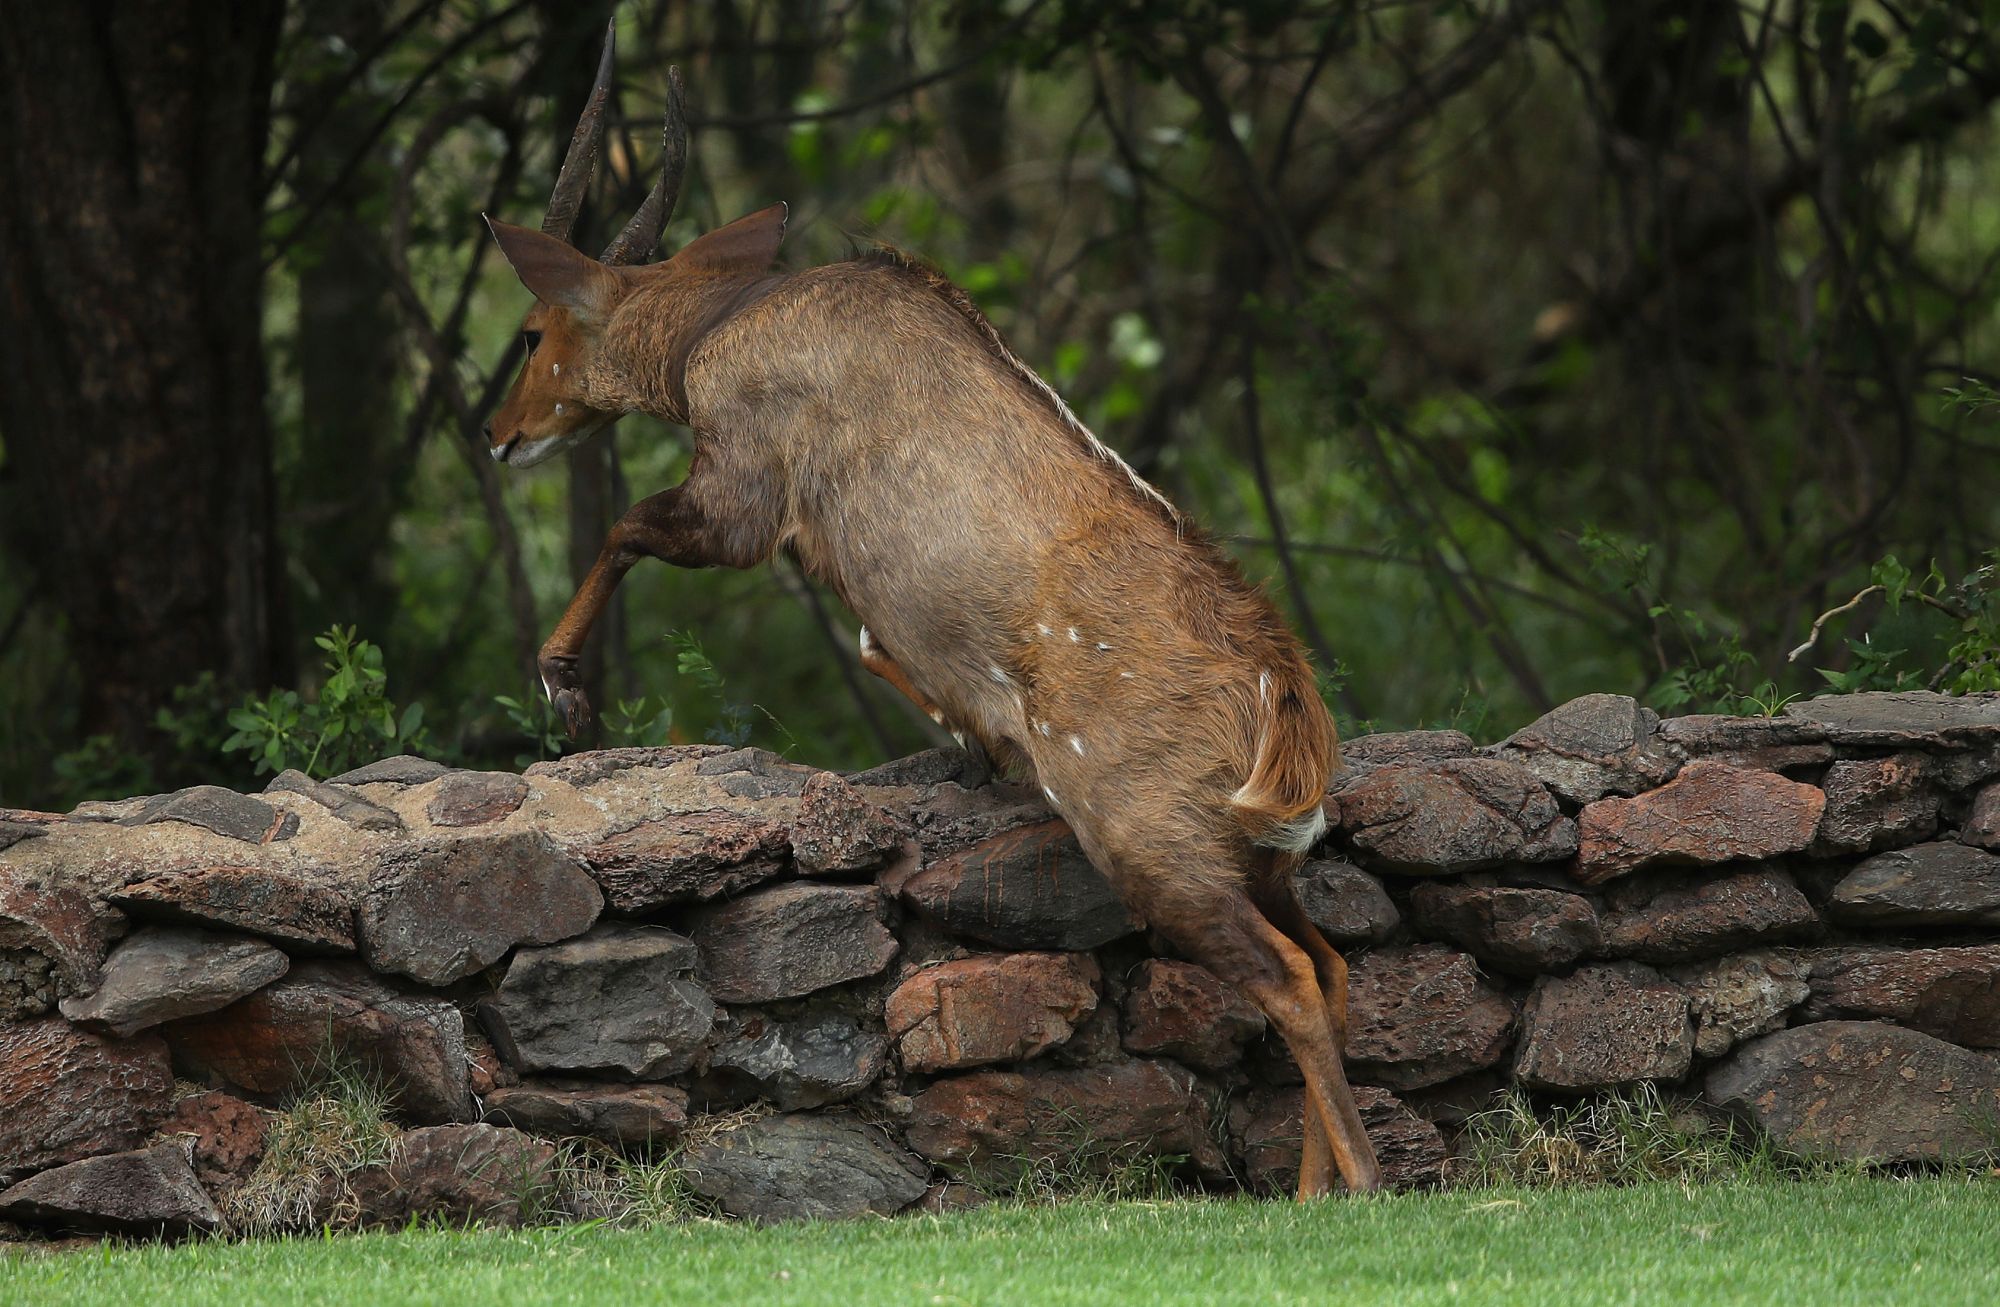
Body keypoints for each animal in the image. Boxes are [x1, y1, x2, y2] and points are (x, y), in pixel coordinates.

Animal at [490, 28, 1384, 1199]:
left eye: (530, 329)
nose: (500, 436)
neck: (715, 333)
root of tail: (1285, 707)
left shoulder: (744, 495)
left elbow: (631, 526)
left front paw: (562, 690)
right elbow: (881, 647)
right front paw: (976, 737)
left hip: (1150, 840)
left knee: (1286, 975)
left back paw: (1355, 1184)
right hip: (1259, 857)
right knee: (1329, 963)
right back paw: (1310, 1188)